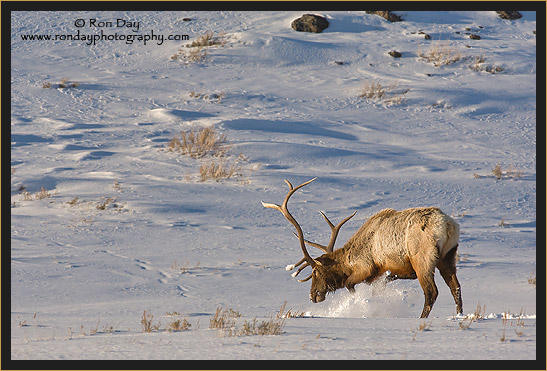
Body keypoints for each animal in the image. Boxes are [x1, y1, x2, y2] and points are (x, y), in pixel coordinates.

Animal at [262, 179, 462, 318]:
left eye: (315, 272)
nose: (313, 296)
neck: (350, 259)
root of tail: (448, 225)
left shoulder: (367, 268)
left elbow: (349, 284)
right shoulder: (389, 272)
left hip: (422, 258)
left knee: (431, 292)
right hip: (448, 256)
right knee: (456, 287)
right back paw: (459, 315)